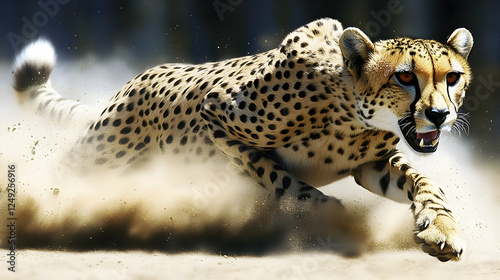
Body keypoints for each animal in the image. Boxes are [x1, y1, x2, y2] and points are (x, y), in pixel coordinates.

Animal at [12, 18, 472, 262]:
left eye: (452, 77)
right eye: (405, 77)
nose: (439, 115)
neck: (352, 112)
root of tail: (139, 78)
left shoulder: (370, 166)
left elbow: (427, 185)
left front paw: (441, 229)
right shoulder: (216, 114)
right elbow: (282, 179)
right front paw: (332, 217)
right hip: (101, 156)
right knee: (63, 178)